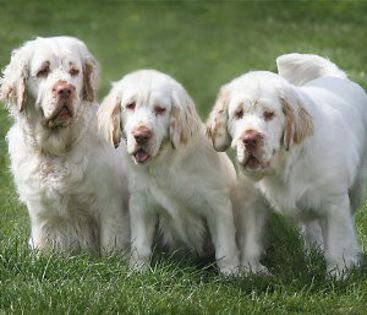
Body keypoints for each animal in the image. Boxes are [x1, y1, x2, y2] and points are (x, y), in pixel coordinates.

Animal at [0, 35, 131, 256]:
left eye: (74, 71)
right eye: (43, 71)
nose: (65, 89)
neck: (57, 149)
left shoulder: (110, 204)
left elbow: (110, 244)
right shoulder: (41, 211)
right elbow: (43, 242)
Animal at [98, 70, 242, 276]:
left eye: (160, 109)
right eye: (130, 105)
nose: (141, 136)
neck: (164, 163)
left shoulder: (218, 205)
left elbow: (225, 248)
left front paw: (231, 275)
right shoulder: (142, 205)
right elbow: (140, 246)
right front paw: (137, 272)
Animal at [208, 54, 367, 278]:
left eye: (269, 114)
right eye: (238, 113)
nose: (249, 139)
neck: (283, 164)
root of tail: (337, 76)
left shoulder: (334, 203)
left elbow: (337, 243)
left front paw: (338, 274)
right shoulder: (252, 200)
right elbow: (251, 239)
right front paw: (251, 270)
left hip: (357, 188)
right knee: (311, 225)